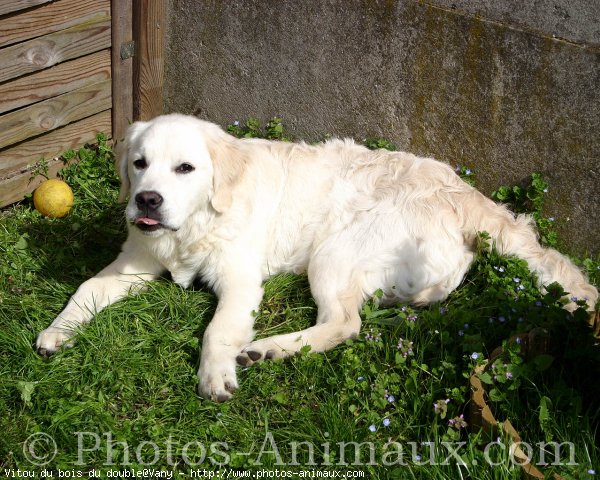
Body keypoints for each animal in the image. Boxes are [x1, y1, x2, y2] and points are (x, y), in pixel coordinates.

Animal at [36, 113, 596, 402]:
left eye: (185, 168)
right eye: (139, 164)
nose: (146, 201)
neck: (195, 225)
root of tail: (465, 193)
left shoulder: (241, 279)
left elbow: (217, 330)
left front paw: (215, 375)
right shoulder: (136, 258)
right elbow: (86, 286)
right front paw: (57, 332)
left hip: (334, 252)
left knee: (344, 323)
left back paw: (268, 349)